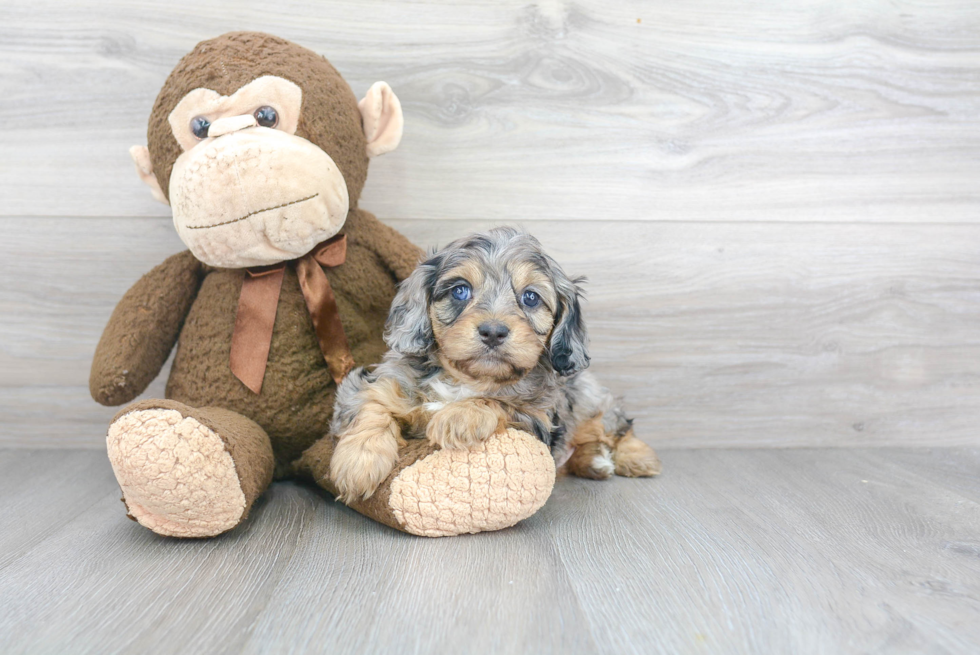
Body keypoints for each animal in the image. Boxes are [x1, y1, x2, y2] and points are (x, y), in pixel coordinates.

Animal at [334, 228, 664, 504]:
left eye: (530, 297)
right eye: (460, 290)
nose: (493, 331)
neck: (467, 379)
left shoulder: (537, 418)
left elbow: (499, 402)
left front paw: (460, 417)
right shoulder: (376, 381)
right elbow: (372, 403)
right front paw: (357, 463)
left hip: (589, 399)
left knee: (618, 426)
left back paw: (637, 459)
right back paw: (595, 462)